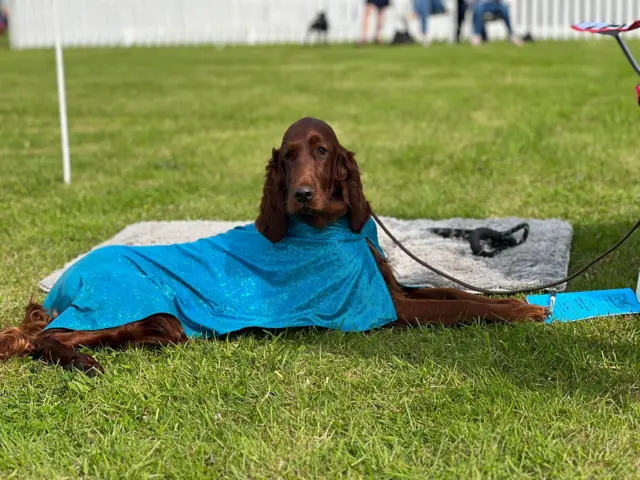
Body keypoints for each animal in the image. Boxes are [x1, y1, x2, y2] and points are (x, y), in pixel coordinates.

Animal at [0, 117, 548, 376]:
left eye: (322, 151)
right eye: (287, 156)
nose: (300, 193)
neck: (333, 228)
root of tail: (66, 279)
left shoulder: (395, 291)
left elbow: (459, 293)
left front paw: (519, 301)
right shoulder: (391, 311)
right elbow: (462, 306)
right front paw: (523, 312)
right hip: (118, 302)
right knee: (43, 338)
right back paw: (81, 363)